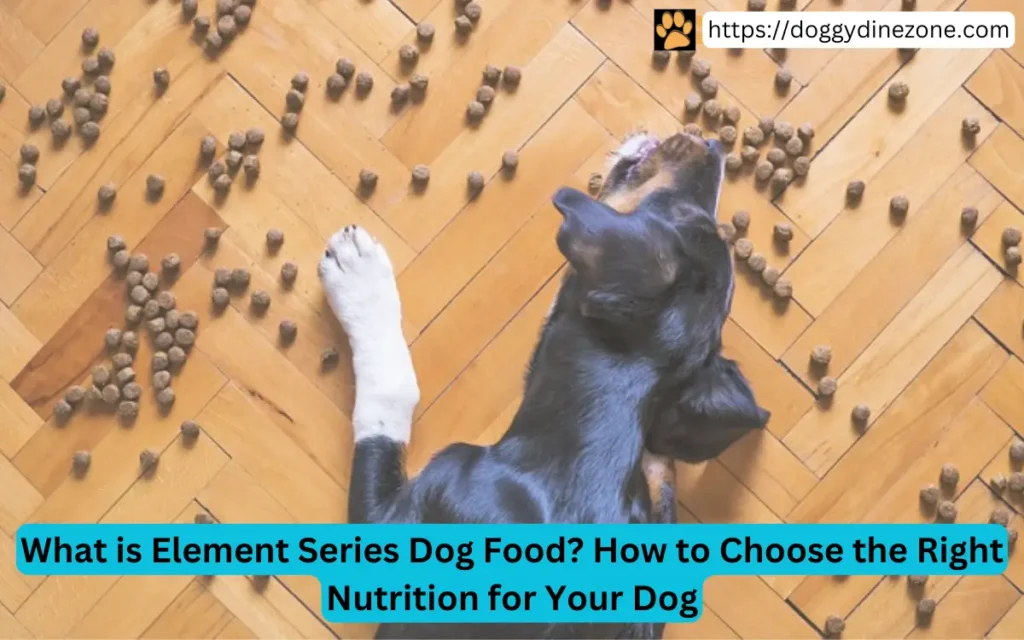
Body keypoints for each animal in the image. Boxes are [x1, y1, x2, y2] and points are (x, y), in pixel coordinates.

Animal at [317, 131, 770, 638]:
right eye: (693, 216)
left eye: (674, 213)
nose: (711, 146)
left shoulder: (389, 525)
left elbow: (390, 397)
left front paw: (358, 277)